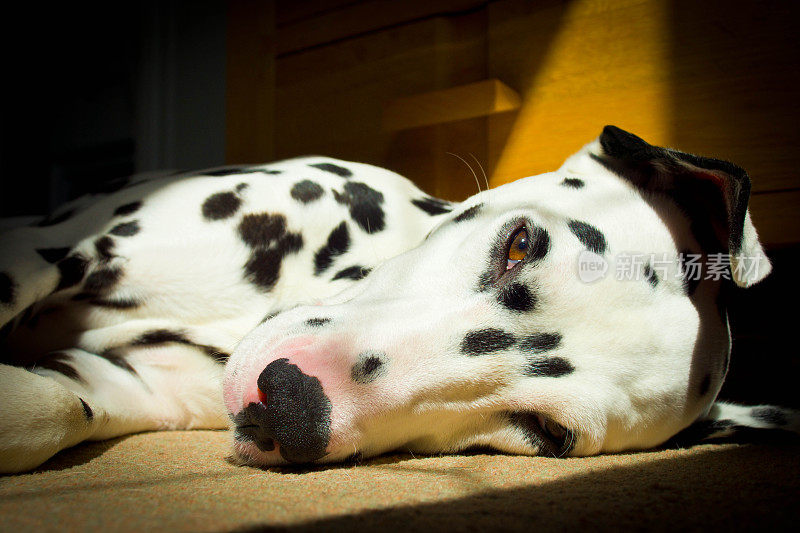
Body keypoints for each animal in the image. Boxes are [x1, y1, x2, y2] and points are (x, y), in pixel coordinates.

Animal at [0, 124, 792, 470]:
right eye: (520, 244)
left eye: (544, 432)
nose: (287, 408)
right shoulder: (47, 248)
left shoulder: (123, 386)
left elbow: (54, 410)